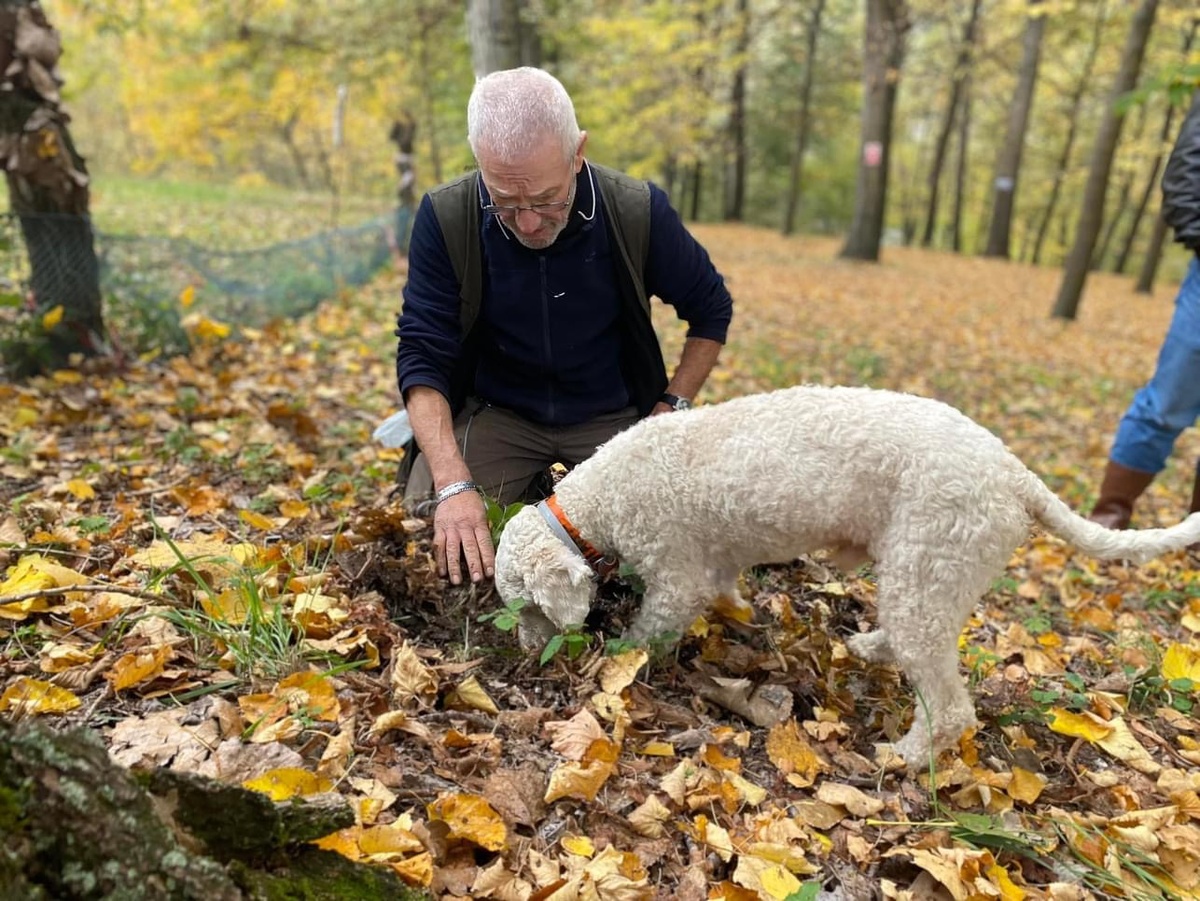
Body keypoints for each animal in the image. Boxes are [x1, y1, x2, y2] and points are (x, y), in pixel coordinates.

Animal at [492, 383, 1200, 763]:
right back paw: (870, 648)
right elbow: (725, 591)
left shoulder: (674, 574)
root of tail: (1012, 471)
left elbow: (650, 631)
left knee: (949, 709)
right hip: (932, 575)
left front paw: (618, 662)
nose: (524, 659)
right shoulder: (713, 564)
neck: (599, 498)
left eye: (528, 607)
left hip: (929, 564)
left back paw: (906, 758)